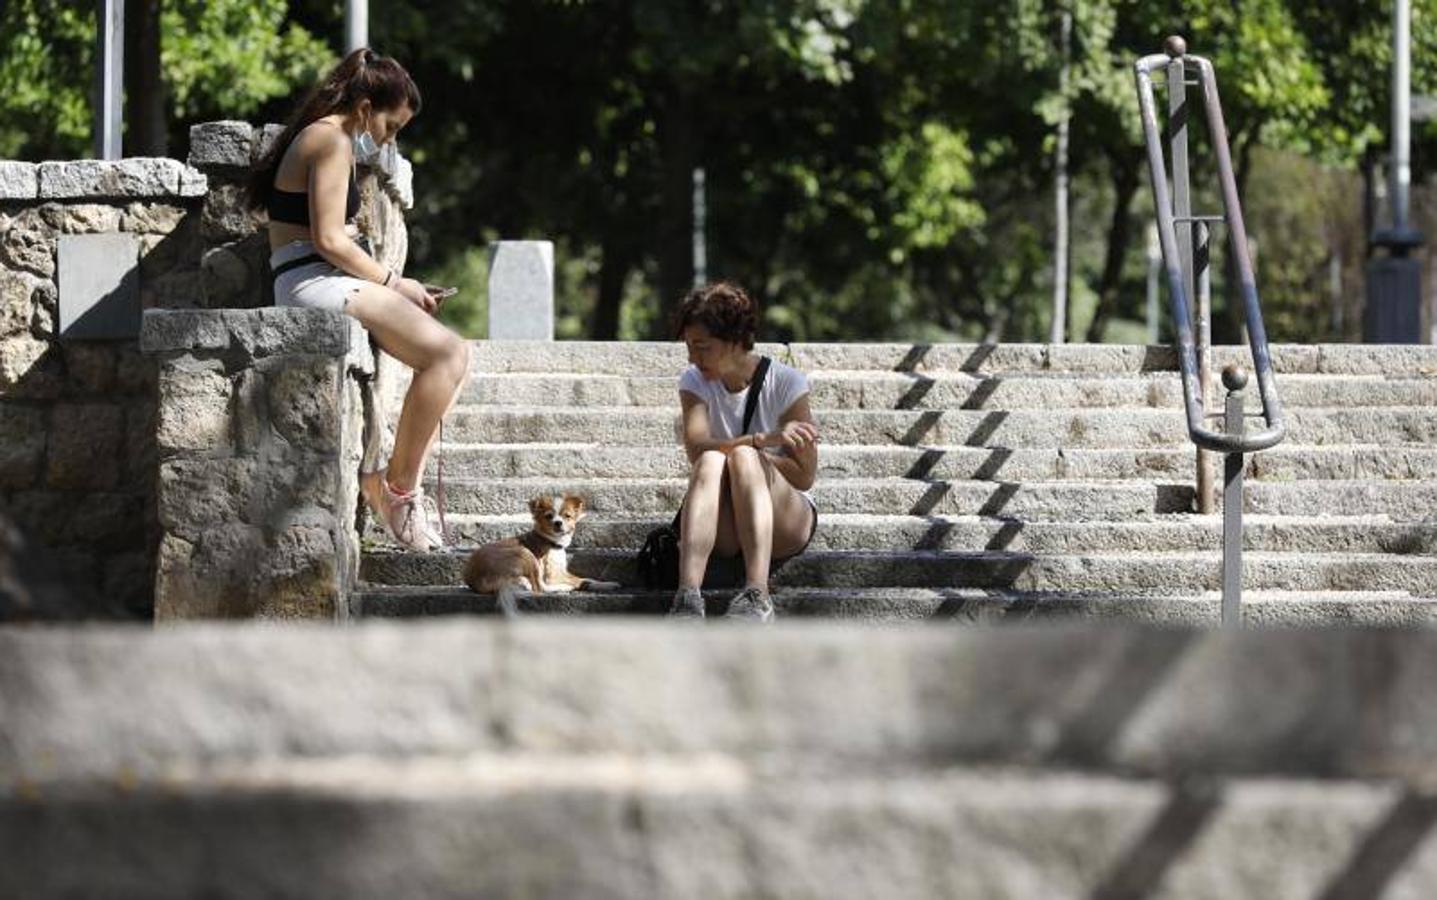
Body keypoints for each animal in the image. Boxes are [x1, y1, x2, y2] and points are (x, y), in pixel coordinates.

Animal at [459, 494, 617, 612]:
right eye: (549, 516)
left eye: (567, 516)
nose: (558, 523)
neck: (552, 543)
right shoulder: (553, 576)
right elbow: (582, 580)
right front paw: (607, 585)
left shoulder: (562, 571)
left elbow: (589, 579)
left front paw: (604, 583)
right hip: (525, 553)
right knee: (539, 588)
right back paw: (565, 588)